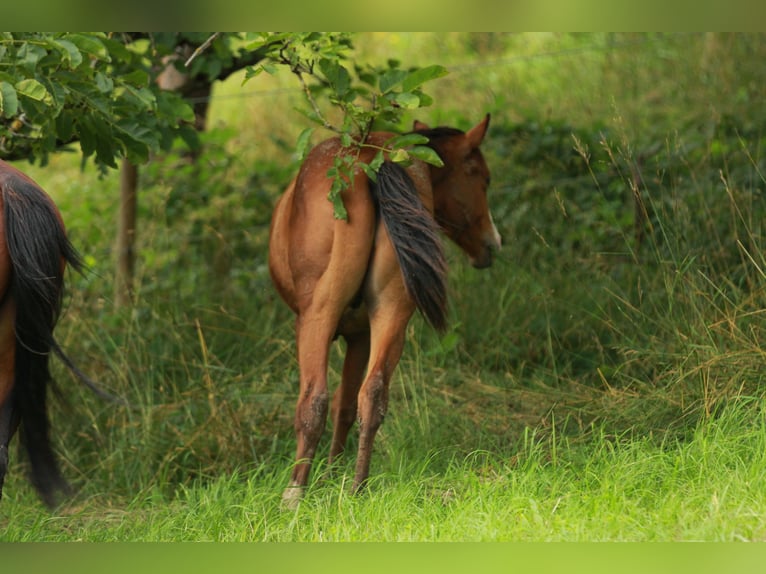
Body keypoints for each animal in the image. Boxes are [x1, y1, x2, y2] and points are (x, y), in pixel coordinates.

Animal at [270, 113, 504, 508]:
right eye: (483, 178)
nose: (493, 243)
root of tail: (373, 164)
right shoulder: (362, 334)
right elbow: (348, 405)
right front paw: (334, 477)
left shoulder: (348, 333)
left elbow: (335, 404)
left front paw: (326, 478)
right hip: (392, 310)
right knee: (373, 395)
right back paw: (356, 488)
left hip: (318, 317)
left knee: (314, 400)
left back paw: (294, 496)